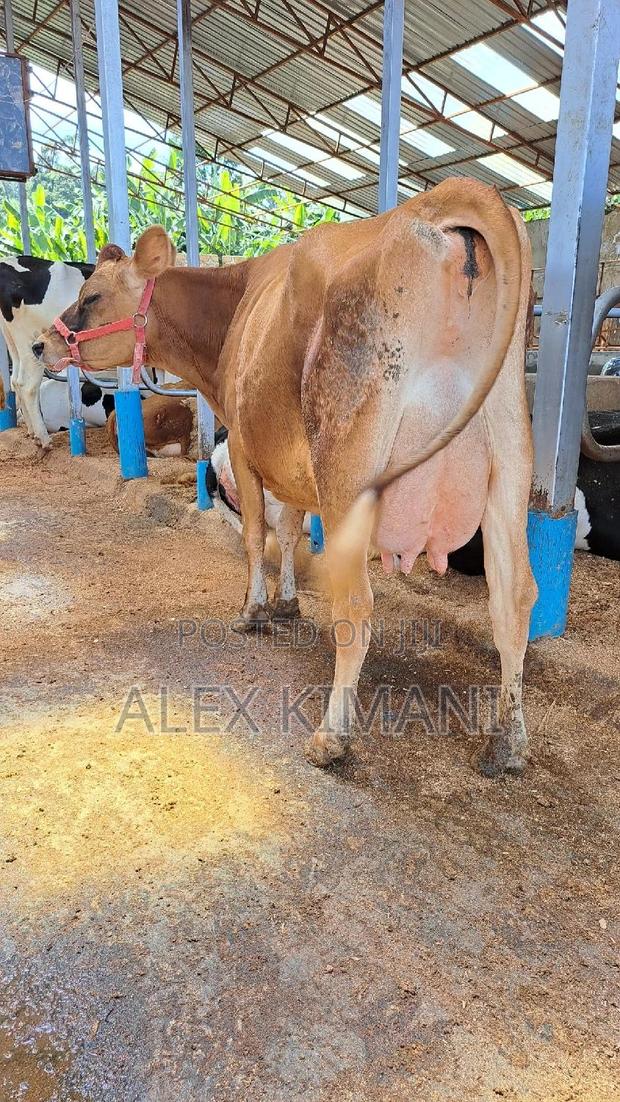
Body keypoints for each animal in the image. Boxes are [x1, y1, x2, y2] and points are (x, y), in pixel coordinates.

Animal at [0, 256, 94, 447]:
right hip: (30, 339)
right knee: (26, 385)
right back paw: (44, 439)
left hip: (13, 341)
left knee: (15, 380)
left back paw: (32, 432)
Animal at [36, 179, 536, 778]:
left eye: (90, 296)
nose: (40, 344)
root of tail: (437, 199)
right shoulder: (293, 464)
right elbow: (293, 528)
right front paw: (287, 601)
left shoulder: (245, 447)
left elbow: (257, 535)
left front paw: (253, 611)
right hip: (510, 458)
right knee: (515, 596)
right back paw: (507, 741)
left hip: (348, 464)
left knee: (357, 602)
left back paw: (332, 738)